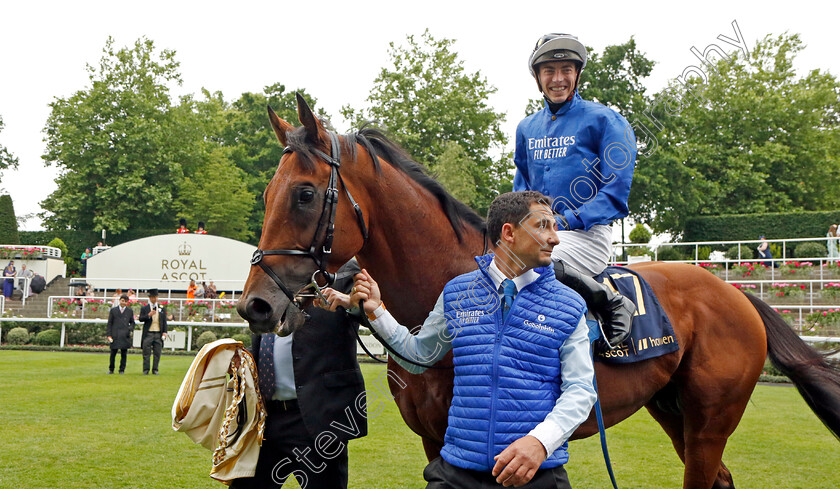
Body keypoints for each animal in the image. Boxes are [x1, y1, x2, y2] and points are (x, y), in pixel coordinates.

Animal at [238, 95, 840, 488]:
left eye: (305, 194)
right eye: (267, 194)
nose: (255, 304)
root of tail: (736, 293)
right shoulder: (438, 443)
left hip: (711, 421)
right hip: (674, 414)